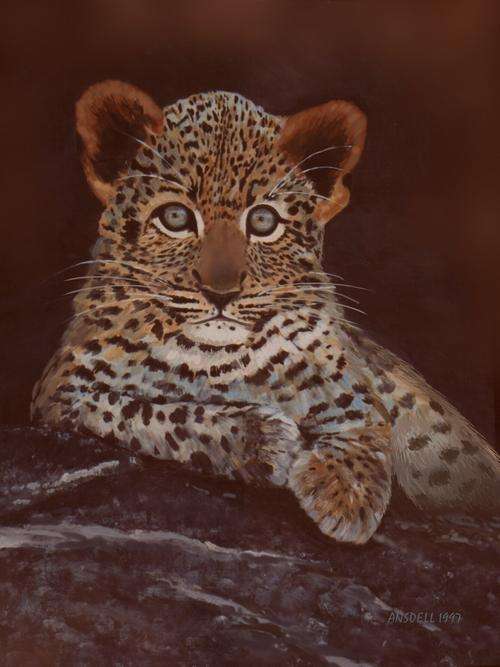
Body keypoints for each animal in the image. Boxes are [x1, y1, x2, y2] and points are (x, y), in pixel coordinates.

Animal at [31, 80, 500, 544]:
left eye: (262, 222)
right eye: (176, 217)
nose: (220, 293)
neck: (216, 361)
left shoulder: (355, 386)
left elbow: (364, 418)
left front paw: (344, 495)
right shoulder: (61, 392)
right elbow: (152, 414)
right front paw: (262, 440)